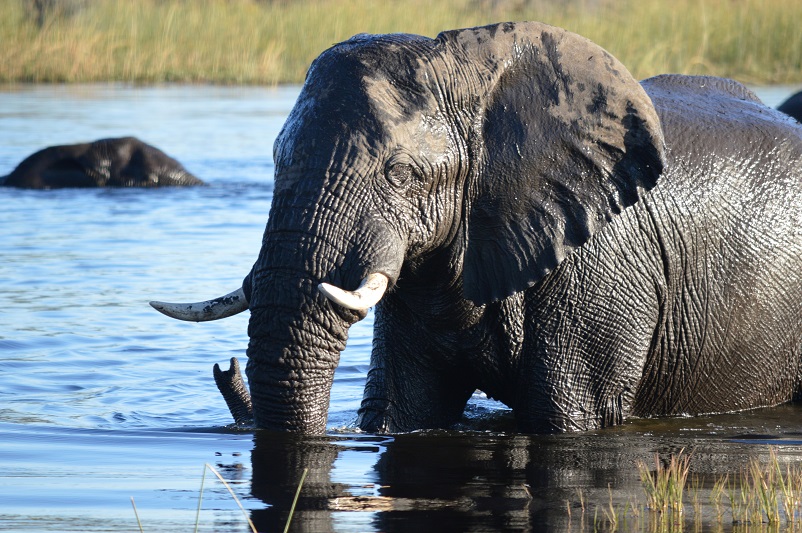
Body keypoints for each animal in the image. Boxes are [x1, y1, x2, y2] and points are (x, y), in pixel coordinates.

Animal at [148, 22, 800, 434]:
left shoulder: (604, 271)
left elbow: (571, 416)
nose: (225, 368)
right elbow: (405, 413)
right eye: (277, 161)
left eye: (401, 173)